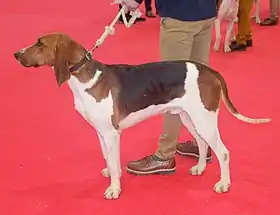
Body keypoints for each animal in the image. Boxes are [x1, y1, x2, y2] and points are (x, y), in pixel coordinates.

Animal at [13, 33, 272, 200]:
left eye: (40, 44)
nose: (16, 54)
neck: (83, 78)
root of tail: (210, 71)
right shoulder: (101, 132)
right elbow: (108, 159)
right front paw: (112, 174)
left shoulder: (112, 133)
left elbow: (114, 162)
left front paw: (114, 189)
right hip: (190, 118)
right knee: (202, 145)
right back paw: (199, 168)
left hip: (204, 120)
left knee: (223, 153)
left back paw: (224, 184)